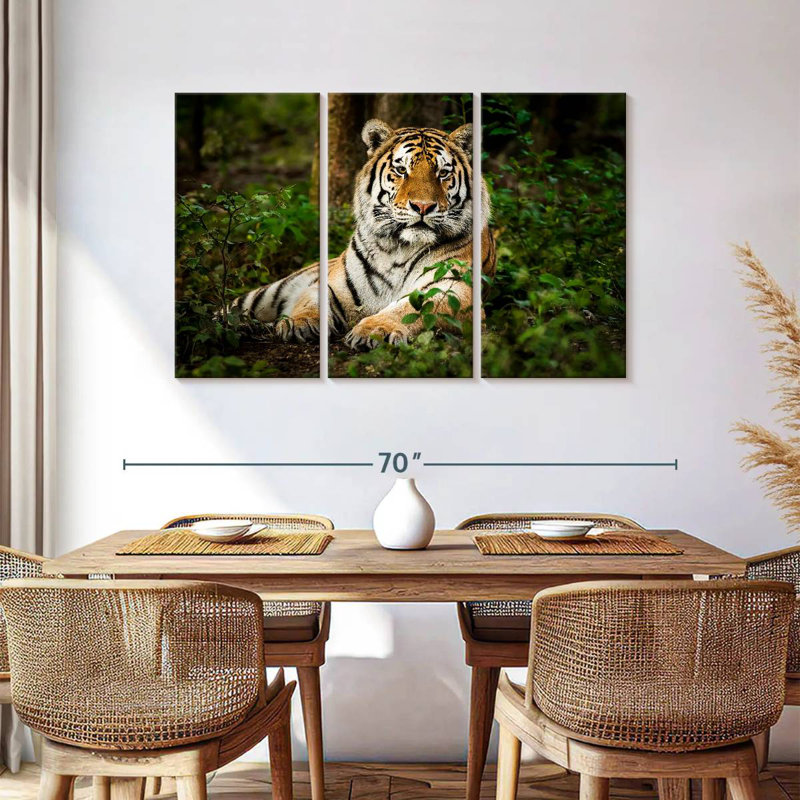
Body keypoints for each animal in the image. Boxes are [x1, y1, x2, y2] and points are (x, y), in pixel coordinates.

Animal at [230, 118, 496, 349]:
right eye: (401, 170)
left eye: (442, 173)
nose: (422, 206)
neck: (398, 248)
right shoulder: (332, 284)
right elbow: (310, 300)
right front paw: (299, 322)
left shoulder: (452, 288)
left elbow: (411, 308)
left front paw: (375, 330)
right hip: (266, 295)